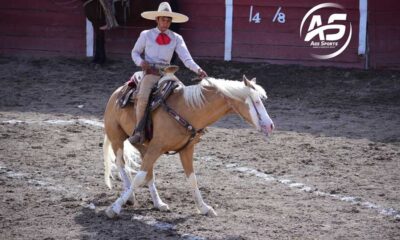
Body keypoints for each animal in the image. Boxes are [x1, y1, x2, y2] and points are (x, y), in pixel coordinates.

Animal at [102, 75, 276, 218]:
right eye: (257, 101)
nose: (270, 126)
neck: (187, 110)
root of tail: (117, 93)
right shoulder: (156, 147)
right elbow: (138, 177)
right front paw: (115, 208)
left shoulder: (186, 149)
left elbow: (192, 179)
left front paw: (204, 208)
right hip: (117, 138)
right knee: (121, 164)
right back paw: (129, 196)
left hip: (143, 146)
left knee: (148, 173)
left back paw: (158, 203)